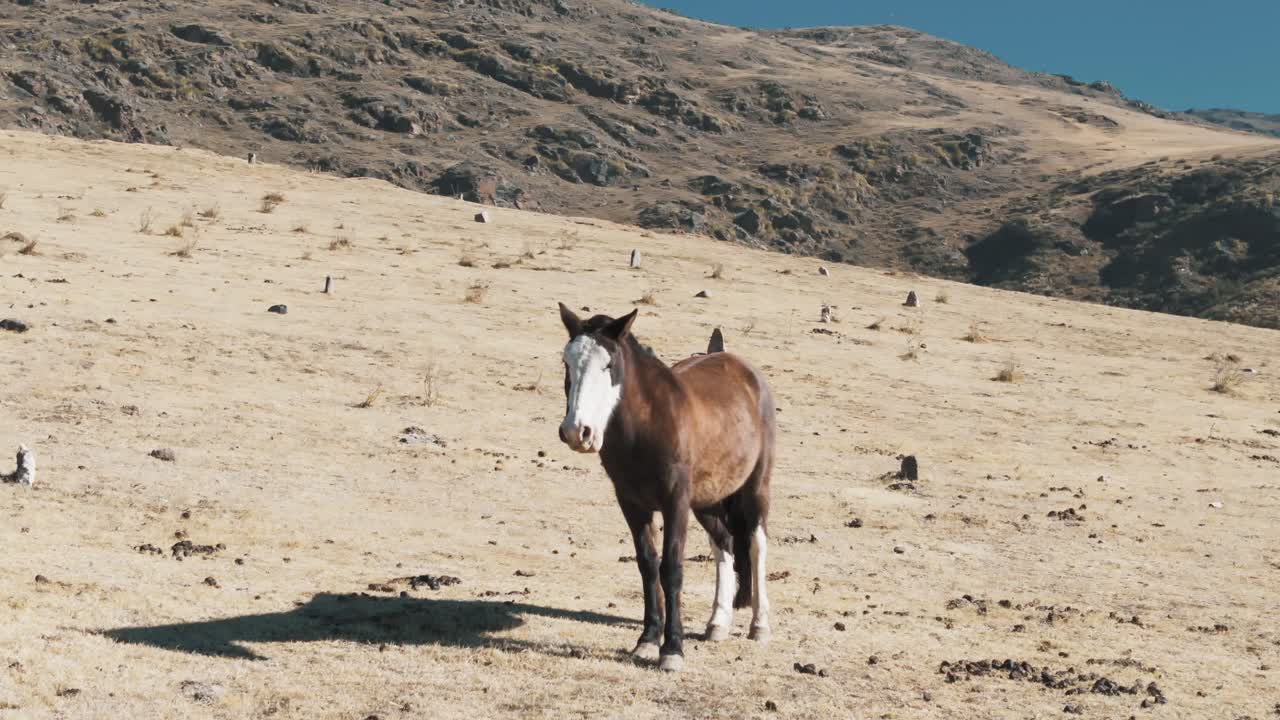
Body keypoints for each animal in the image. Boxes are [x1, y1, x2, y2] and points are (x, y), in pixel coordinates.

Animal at [556, 303, 777, 672]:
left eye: (608, 365)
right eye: (567, 363)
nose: (577, 431)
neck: (647, 425)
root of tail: (747, 372)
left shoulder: (675, 503)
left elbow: (671, 568)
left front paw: (672, 650)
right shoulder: (632, 504)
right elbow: (648, 565)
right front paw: (647, 641)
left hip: (755, 488)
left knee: (756, 543)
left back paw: (759, 626)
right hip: (706, 501)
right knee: (725, 543)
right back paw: (718, 623)